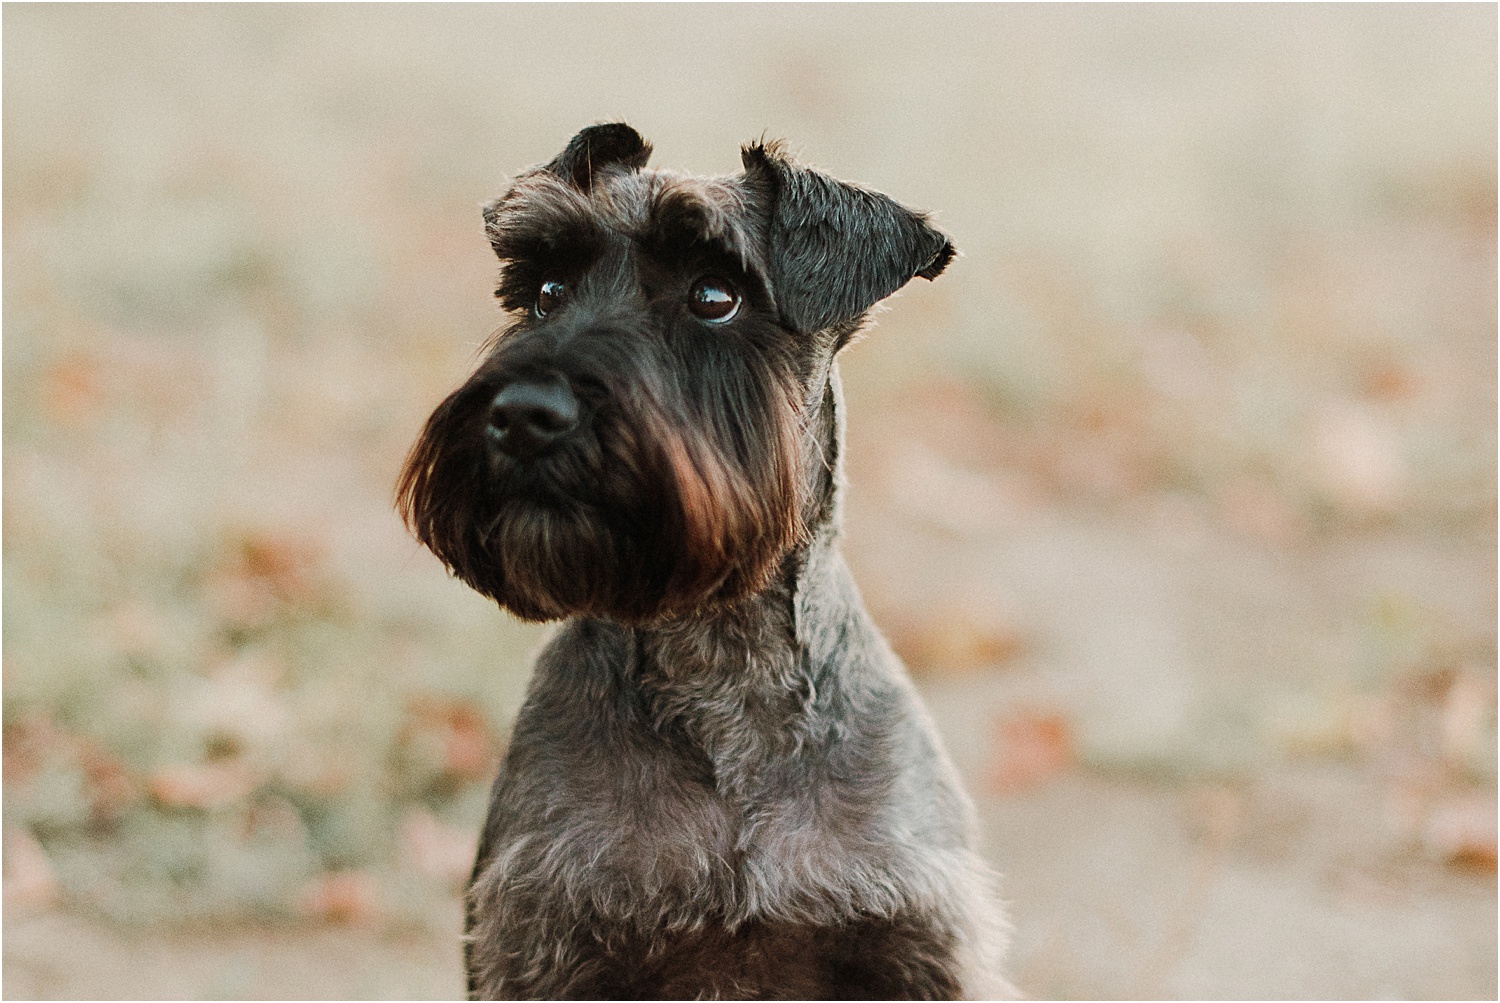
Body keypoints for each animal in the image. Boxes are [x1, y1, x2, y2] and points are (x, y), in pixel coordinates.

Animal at [399, 127, 1008, 1001]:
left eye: (715, 296)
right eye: (547, 291)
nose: (523, 414)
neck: (717, 658)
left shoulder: (920, 945)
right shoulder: (540, 944)